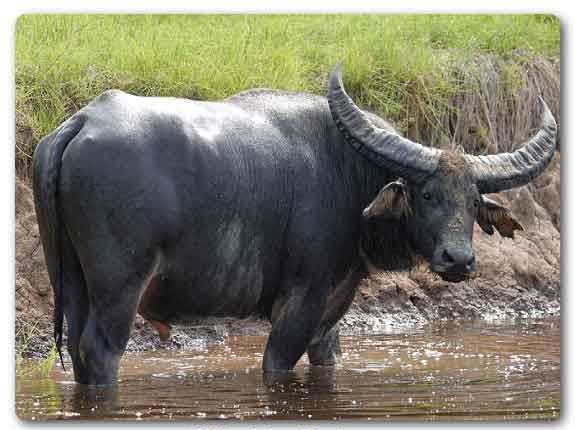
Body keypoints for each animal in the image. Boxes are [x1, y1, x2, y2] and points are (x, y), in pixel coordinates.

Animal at [33, 63, 556, 382]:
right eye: (426, 194)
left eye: (473, 200)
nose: (459, 260)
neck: (348, 171)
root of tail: (80, 123)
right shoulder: (299, 301)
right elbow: (277, 364)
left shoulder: (333, 306)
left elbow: (328, 358)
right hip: (119, 286)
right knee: (100, 351)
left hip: (71, 280)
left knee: (77, 351)